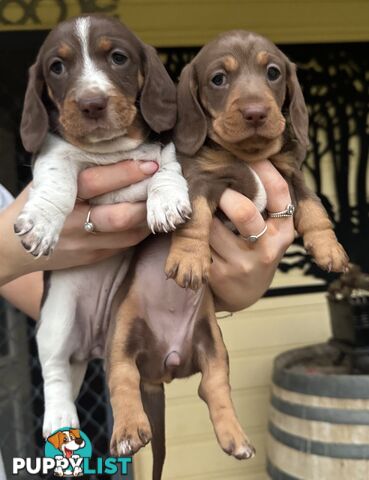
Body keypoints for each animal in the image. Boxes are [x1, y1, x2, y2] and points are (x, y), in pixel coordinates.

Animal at [165, 31, 346, 290]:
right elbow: (195, 218)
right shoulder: (201, 179)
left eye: (273, 73)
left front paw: (328, 246)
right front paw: (189, 257)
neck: (248, 155)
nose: (255, 113)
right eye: (218, 79)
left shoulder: (292, 174)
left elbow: (314, 207)